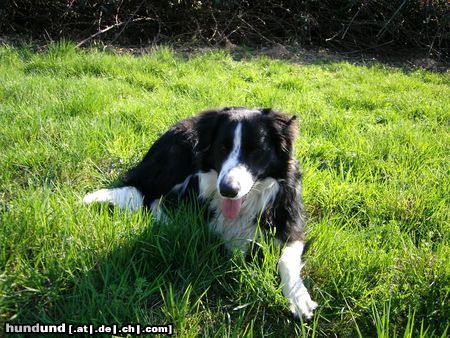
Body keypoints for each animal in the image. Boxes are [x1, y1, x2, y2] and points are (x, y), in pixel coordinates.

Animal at [83, 107, 316, 318]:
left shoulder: (291, 223)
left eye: (256, 151)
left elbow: (286, 260)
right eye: (222, 148)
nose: (228, 190)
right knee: (149, 198)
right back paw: (169, 223)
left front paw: (298, 298)